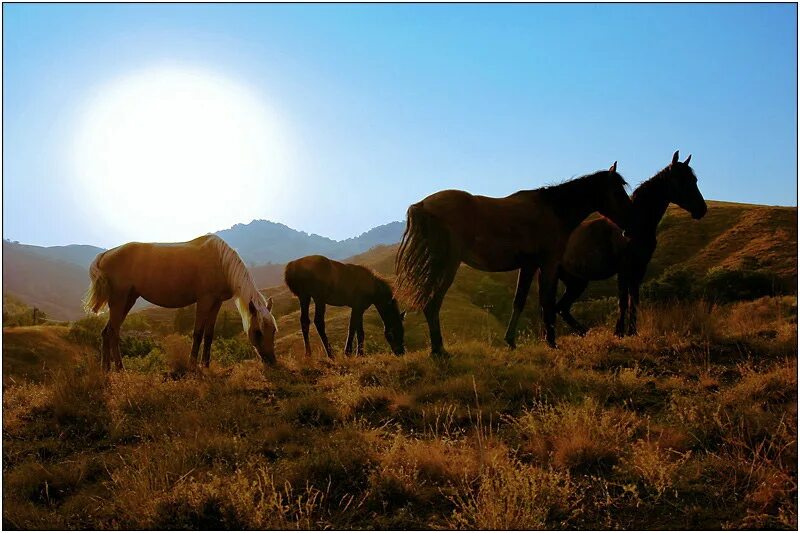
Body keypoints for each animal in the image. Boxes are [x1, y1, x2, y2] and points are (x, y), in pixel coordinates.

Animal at [84, 235, 278, 372]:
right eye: (258, 332)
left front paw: (206, 365)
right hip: (120, 300)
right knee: (113, 332)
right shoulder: (205, 300)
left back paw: (106, 368)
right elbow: (198, 333)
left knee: (106, 332)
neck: (220, 261)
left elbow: (209, 335)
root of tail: (105, 254)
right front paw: (193, 366)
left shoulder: (216, 303)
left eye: (274, 331)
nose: (272, 362)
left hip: (127, 301)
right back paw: (120, 368)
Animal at [394, 162, 632, 354]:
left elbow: (519, 301)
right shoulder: (549, 264)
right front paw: (552, 343)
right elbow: (547, 300)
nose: (629, 227)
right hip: (446, 265)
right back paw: (439, 350)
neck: (553, 210)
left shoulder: (529, 266)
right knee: (432, 303)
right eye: (617, 191)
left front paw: (511, 341)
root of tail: (423, 205)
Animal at [556, 150, 708, 334]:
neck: (636, 224)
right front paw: (619, 332)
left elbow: (633, 299)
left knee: (561, 308)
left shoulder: (640, 267)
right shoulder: (623, 268)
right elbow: (622, 300)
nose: (701, 209)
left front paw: (632, 331)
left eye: (695, 180)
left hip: (576, 282)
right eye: (680, 180)